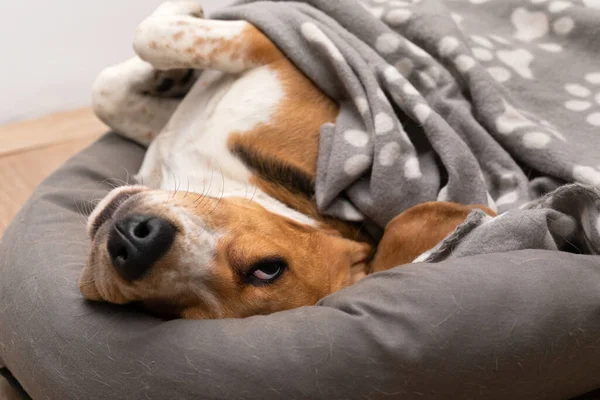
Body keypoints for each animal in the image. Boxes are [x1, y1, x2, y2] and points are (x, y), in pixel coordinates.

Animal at [78, 0, 492, 318]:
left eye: (266, 270)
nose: (137, 246)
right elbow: (107, 91)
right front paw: (166, 75)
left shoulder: (260, 44)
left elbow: (150, 34)